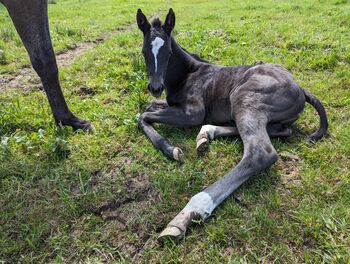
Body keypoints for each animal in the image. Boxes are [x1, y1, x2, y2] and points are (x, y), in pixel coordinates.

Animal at [136, 8, 328, 241]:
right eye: (144, 51)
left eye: (169, 52)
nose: (155, 87)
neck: (187, 74)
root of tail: (300, 88)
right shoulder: (171, 104)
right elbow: (148, 108)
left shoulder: (193, 113)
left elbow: (143, 116)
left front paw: (171, 149)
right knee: (281, 130)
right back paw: (206, 135)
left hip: (243, 98)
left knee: (260, 153)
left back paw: (189, 213)